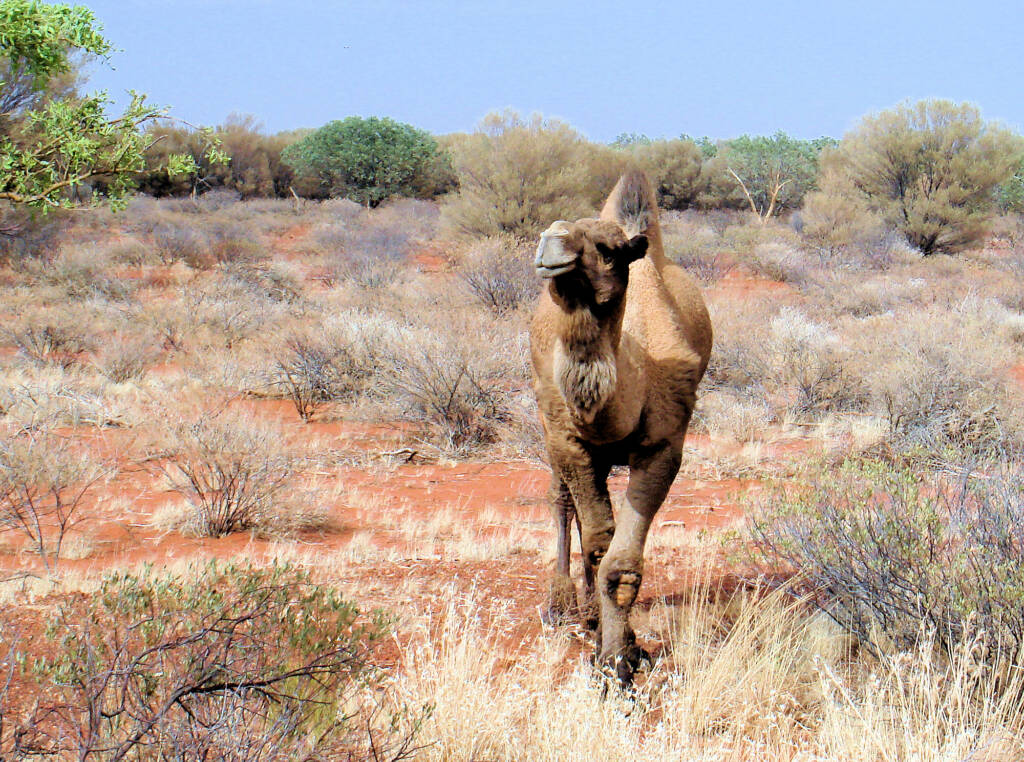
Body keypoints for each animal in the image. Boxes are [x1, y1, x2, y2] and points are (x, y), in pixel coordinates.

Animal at [529, 170, 712, 684]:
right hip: (546, 425)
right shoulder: (567, 438)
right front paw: (610, 652)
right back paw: (562, 604)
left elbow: (620, 563)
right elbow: (598, 544)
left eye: (608, 250)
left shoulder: (664, 446)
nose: (552, 242)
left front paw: (620, 659)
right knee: (561, 502)